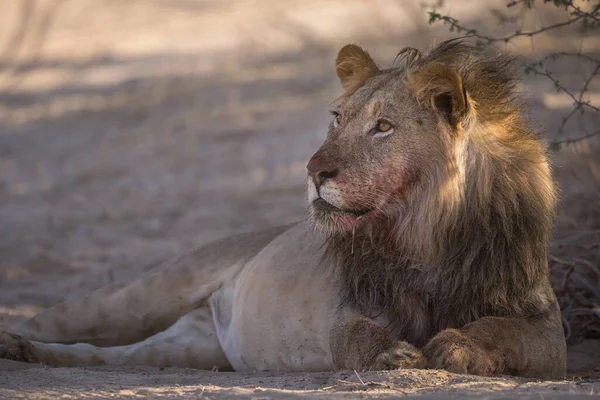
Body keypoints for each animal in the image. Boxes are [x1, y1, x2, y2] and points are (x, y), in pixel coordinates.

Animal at [0, 39, 568, 380]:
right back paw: (16, 345)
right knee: (66, 321)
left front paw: (456, 346)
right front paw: (389, 354)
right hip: (146, 291)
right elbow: (353, 334)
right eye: (337, 118)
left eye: (383, 127)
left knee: (107, 355)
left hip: (192, 347)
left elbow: (503, 331)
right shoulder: (354, 303)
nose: (314, 171)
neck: (423, 230)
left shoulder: (543, 324)